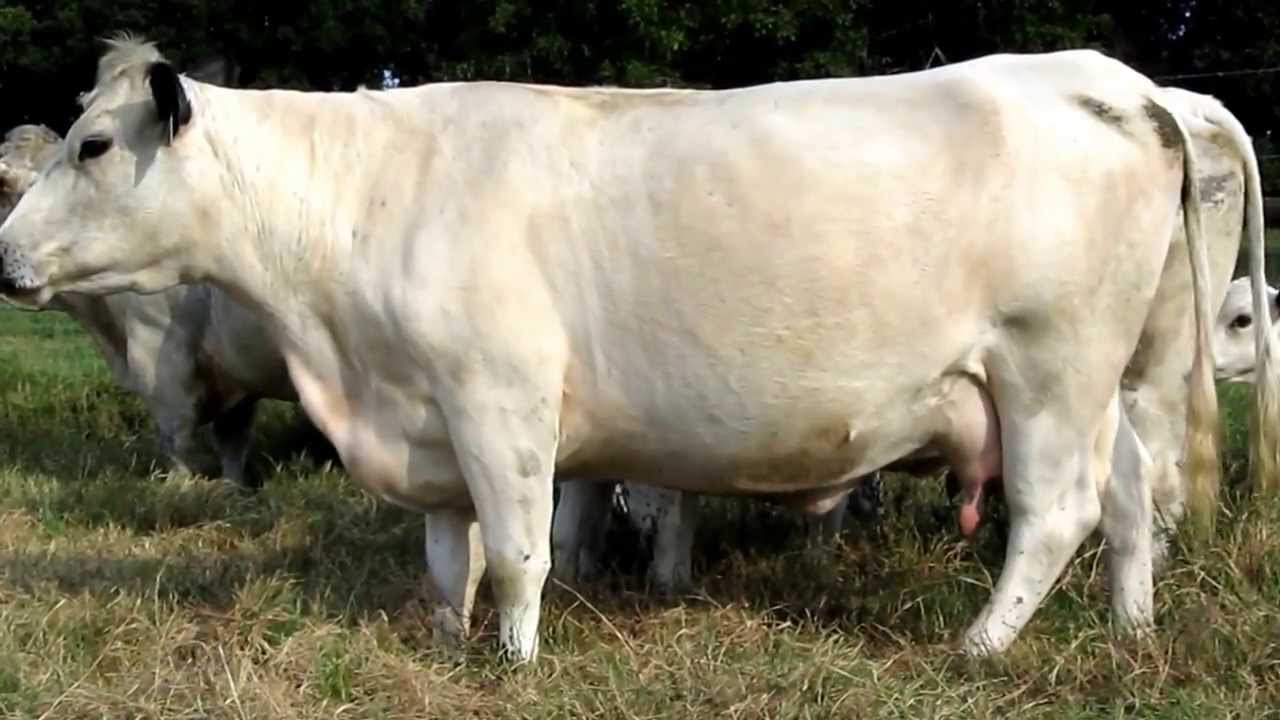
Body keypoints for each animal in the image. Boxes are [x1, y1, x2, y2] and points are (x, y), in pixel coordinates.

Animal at [0, 123, 295, 487]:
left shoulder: (157, 347)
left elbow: (176, 436)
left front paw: (182, 487)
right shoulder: (237, 368)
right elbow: (232, 440)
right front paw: (234, 487)